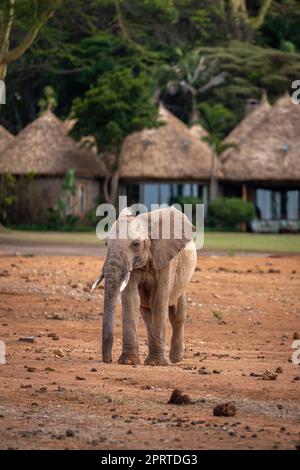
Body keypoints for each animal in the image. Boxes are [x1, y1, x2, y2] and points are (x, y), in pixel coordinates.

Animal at [92, 207, 198, 368]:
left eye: (136, 244)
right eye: (106, 244)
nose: (107, 360)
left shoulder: (166, 260)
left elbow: (159, 300)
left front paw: (158, 364)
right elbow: (131, 298)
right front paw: (128, 362)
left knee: (177, 314)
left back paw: (175, 359)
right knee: (147, 315)